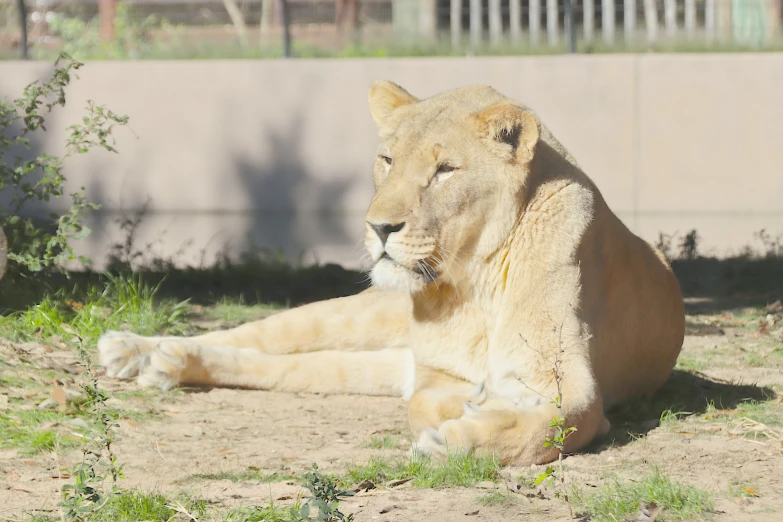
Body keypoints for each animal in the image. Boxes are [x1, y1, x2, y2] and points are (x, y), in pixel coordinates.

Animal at [98, 81, 688, 464]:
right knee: (249, 335)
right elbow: (428, 400)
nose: (379, 227)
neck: (473, 280)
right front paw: (466, 413)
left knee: (275, 367)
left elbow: (550, 424)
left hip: (360, 363)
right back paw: (137, 351)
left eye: (445, 169)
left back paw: (166, 364)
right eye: (386, 160)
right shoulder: (433, 373)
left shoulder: (569, 383)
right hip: (349, 318)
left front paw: (460, 436)